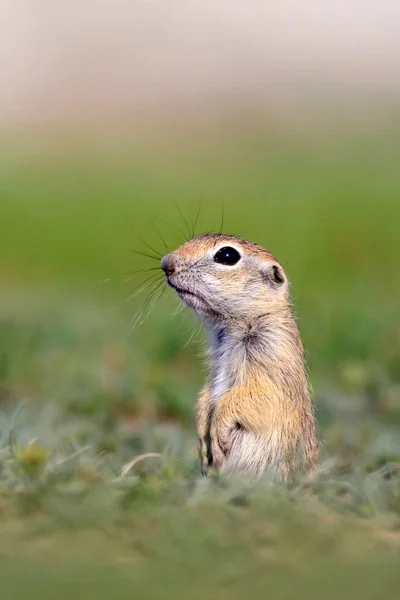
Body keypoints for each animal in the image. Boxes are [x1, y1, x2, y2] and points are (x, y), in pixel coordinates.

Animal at [159, 232, 318, 480]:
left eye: (227, 255)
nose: (166, 264)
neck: (231, 328)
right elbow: (206, 394)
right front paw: (203, 438)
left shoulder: (273, 355)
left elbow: (258, 396)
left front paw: (217, 432)